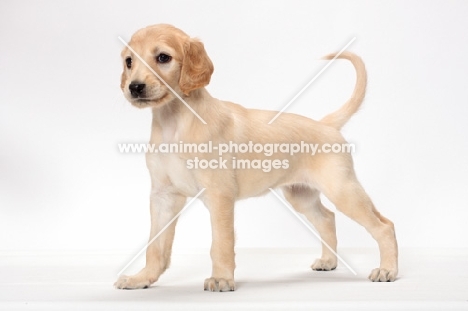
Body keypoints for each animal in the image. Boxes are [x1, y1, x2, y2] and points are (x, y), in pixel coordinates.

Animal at [114, 24, 398, 292]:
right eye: (129, 61)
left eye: (163, 57)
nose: (134, 87)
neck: (174, 122)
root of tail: (326, 124)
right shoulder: (163, 197)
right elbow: (155, 246)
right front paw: (142, 278)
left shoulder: (219, 195)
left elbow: (221, 243)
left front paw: (221, 279)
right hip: (301, 194)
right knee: (327, 219)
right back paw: (329, 261)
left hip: (343, 190)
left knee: (384, 225)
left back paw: (388, 270)